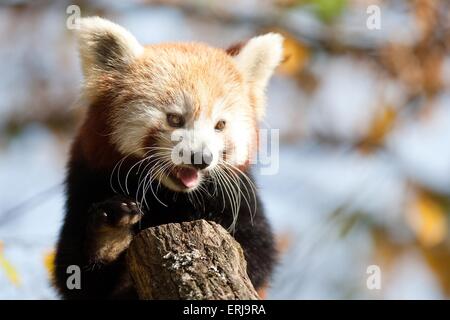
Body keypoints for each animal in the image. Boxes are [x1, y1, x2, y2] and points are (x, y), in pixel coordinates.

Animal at [54, 16, 284, 298]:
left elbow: (257, 257)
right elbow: (76, 275)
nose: (200, 158)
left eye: (219, 125)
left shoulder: (239, 195)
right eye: (174, 119)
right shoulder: (86, 182)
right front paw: (110, 234)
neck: (170, 195)